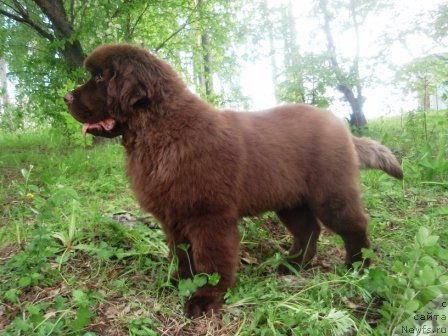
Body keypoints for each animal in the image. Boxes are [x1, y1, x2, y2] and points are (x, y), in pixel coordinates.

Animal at [65, 44, 404, 318]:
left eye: (100, 79)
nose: (65, 96)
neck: (161, 131)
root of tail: (342, 127)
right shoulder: (174, 217)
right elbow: (182, 255)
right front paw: (180, 282)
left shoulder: (209, 216)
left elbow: (212, 261)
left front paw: (205, 299)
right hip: (289, 199)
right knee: (308, 231)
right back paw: (292, 265)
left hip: (330, 192)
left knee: (354, 226)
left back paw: (357, 268)